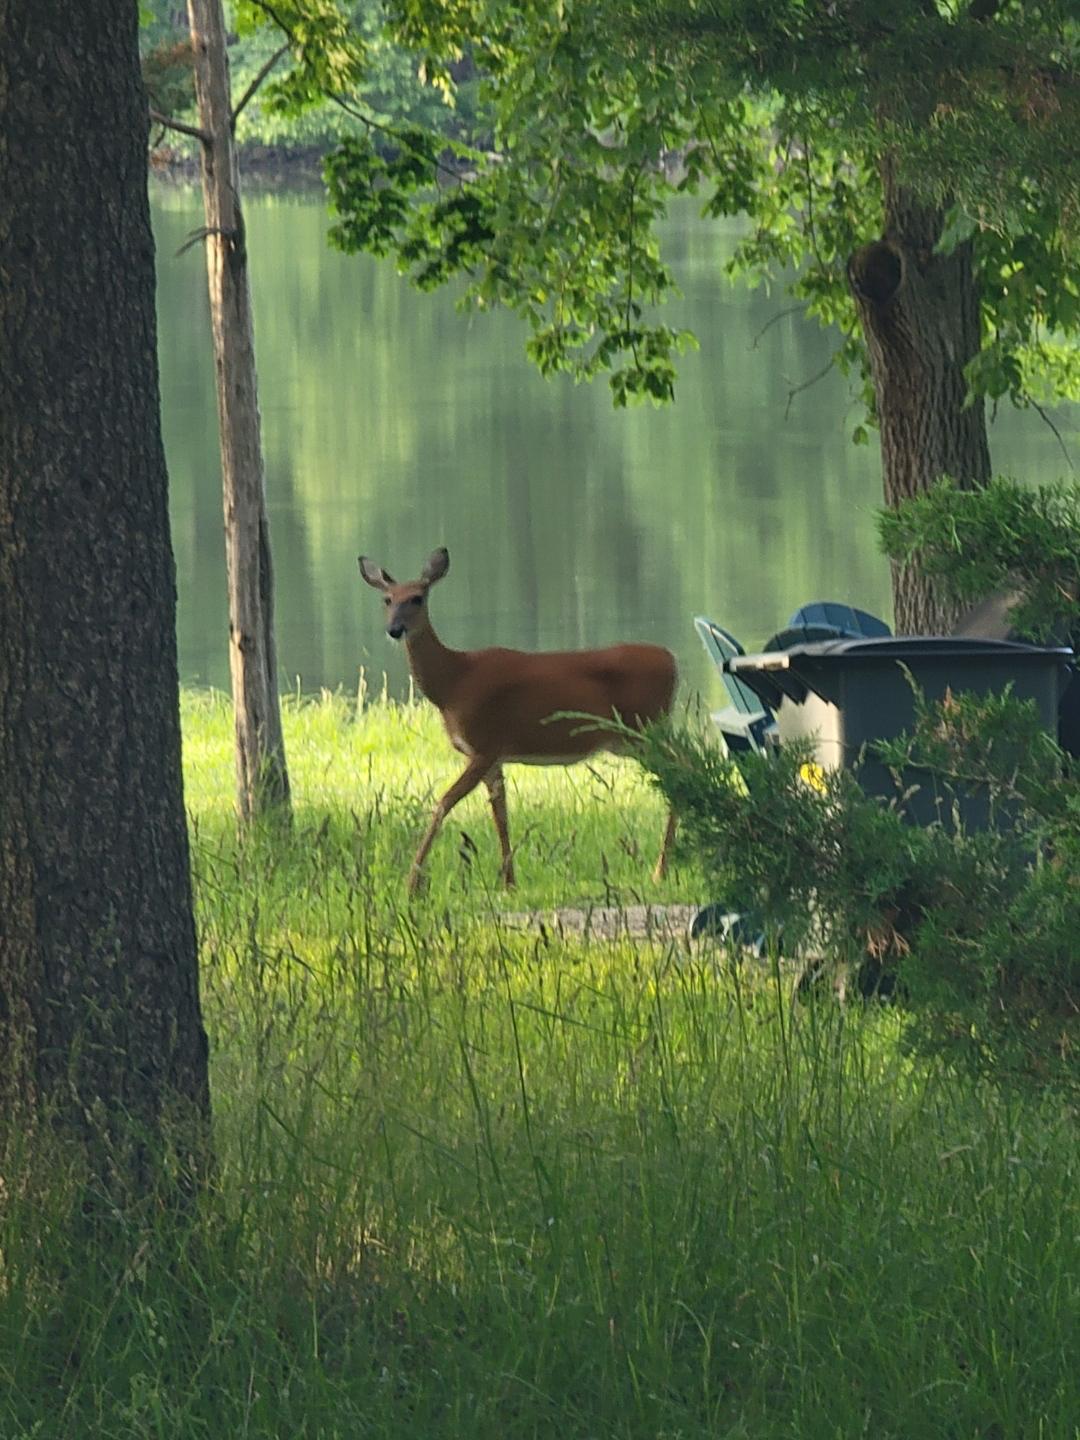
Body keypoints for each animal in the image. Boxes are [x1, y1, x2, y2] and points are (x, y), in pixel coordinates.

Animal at [359, 547, 678, 895]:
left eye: (417, 598)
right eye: (387, 599)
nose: (395, 629)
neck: (453, 682)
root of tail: (671, 660)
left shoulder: (483, 746)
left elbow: (444, 803)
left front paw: (412, 883)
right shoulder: (494, 757)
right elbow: (501, 816)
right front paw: (509, 883)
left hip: (645, 729)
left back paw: (660, 870)